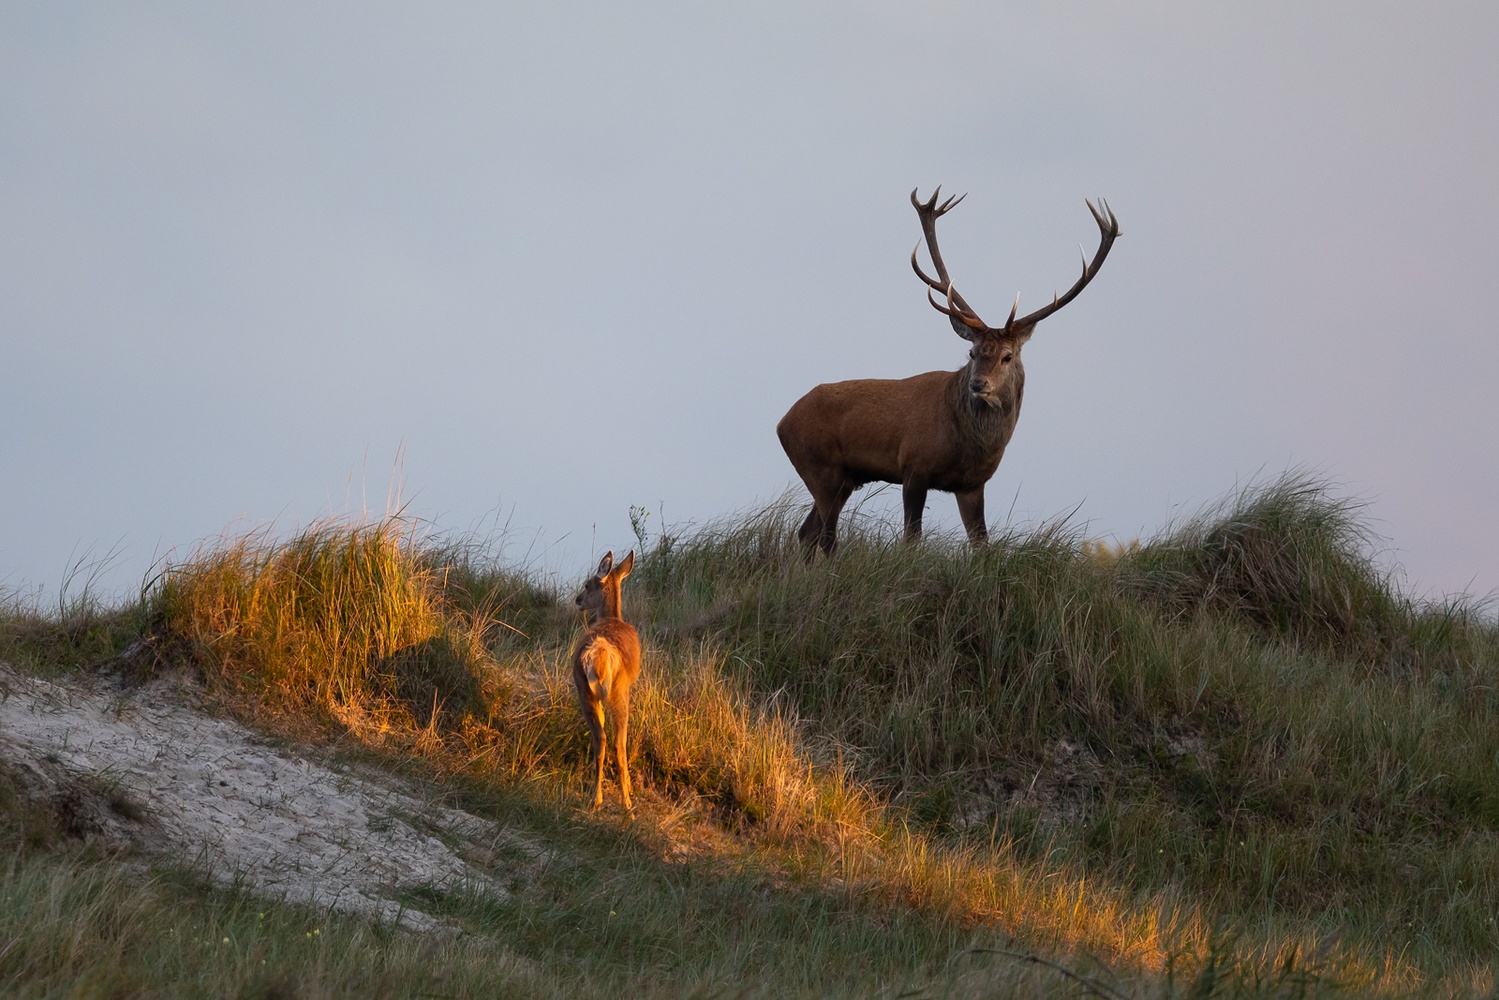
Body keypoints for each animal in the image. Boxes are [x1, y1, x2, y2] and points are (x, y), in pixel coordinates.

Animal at [569, 551, 641, 809]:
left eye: (587, 585)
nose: (578, 600)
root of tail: (599, 651)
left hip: (583, 688)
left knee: (600, 738)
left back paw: (596, 798)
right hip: (619, 691)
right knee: (618, 742)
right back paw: (627, 804)